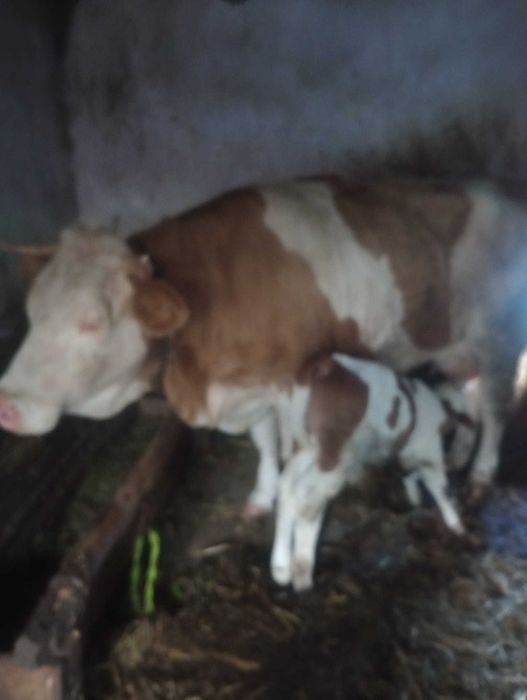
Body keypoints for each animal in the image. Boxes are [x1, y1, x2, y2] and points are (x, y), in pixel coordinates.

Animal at [0, 178, 525, 513]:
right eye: (31, 311)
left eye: (92, 322)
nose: (6, 405)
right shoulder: (248, 386)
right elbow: (264, 442)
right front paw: (260, 497)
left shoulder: (295, 380)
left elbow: (293, 448)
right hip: (453, 344)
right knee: (466, 393)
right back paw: (456, 455)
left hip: (500, 338)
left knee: (496, 409)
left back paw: (480, 478)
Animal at [270, 353, 479, 591]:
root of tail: (329, 364)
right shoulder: (430, 454)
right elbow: (440, 488)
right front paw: (457, 526)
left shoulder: (411, 454)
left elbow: (411, 475)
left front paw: (414, 499)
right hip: (335, 454)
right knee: (310, 501)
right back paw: (302, 572)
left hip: (304, 443)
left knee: (287, 486)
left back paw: (281, 568)